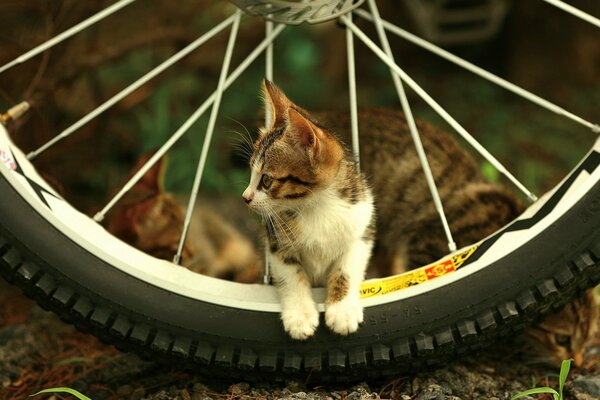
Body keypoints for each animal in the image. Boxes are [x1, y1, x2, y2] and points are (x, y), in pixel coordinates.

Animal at [241, 79, 372, 340]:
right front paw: (300, 316)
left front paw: (342, 310)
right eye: (251, 171)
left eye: (267, 180)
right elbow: (292, 275)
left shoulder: (362, 227)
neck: (316, 206)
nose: (246, 197)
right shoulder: (276, 242)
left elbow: (347, 269)